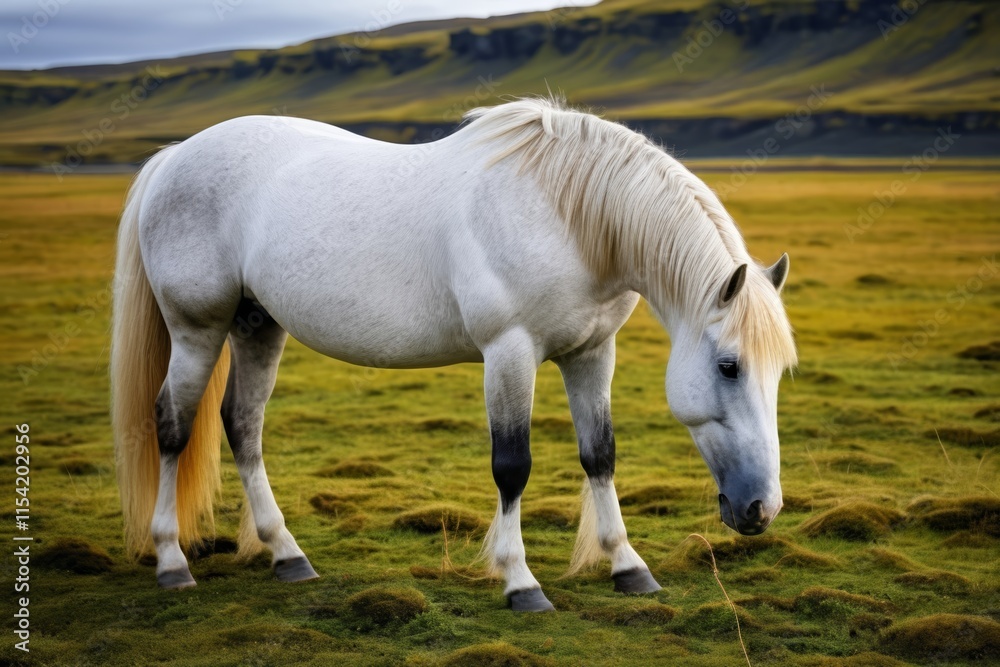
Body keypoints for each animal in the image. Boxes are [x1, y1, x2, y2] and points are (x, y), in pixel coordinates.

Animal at [111, 98, 796, 612]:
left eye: (779, 375)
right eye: (729, 366)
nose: (761, 510)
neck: (567, 214)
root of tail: (175, 156)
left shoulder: (591, 353)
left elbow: (599, 456)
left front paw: (627, 565)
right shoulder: (510, 352)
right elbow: (512, 466)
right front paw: (520, 582)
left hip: (258, 326)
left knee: (242, 425)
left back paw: (287, 554)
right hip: (198, 329)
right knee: (172, 425)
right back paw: (172, 561)